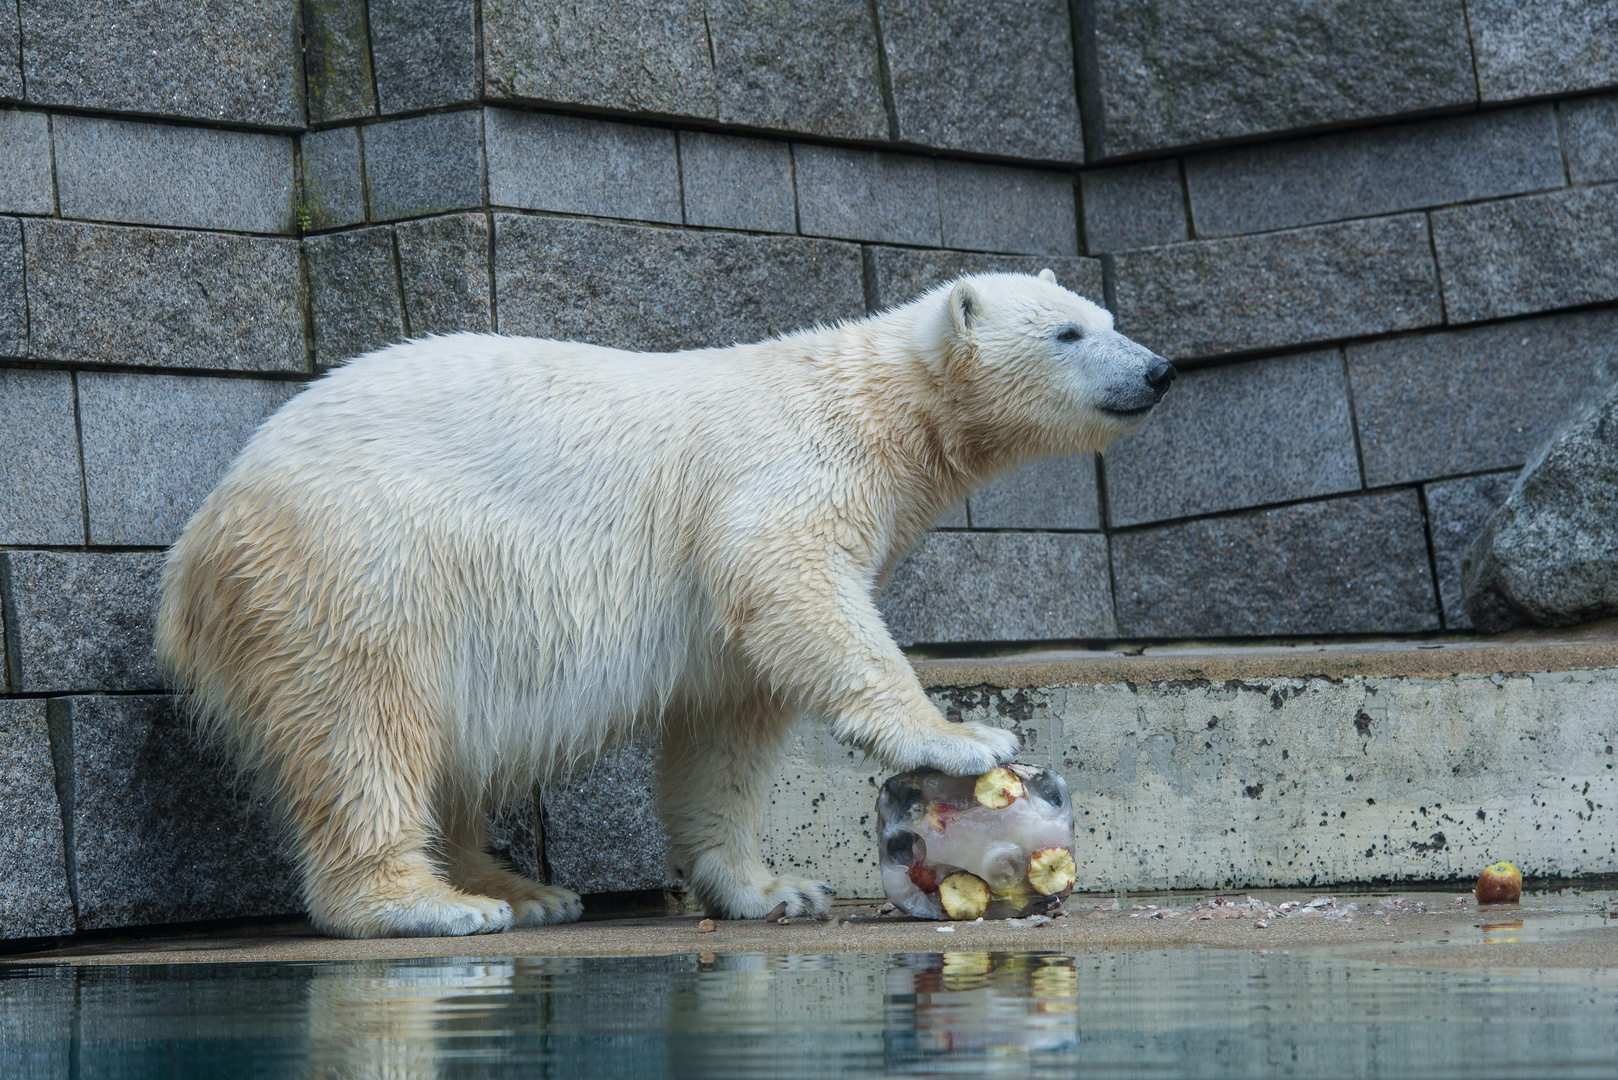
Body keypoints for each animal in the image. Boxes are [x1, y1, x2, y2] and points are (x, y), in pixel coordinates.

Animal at [154, 270, 1177, 939]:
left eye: (1108, 317)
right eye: (1067, 334)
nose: (1160, 369)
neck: (880, 404)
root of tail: (196, 551)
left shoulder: (716, 619)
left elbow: (727, 725)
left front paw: (774, 889)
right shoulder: (782, 477)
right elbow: (798, 589)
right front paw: (963, 735)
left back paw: (524, 888)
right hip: (358, 566)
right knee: (367, 724)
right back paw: (432, 903)